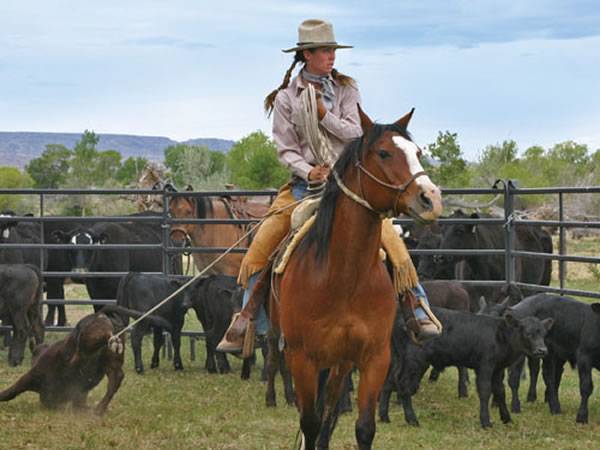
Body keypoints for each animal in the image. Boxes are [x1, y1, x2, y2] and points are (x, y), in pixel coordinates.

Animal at [270, 107, 442, 448]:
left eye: (417, 152)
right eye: (384, 153)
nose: (431, 198)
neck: (343, 279)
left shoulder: (374, 357)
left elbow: (362, 427)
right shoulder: (303, 359)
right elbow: (309, 423)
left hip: (341, 362)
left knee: (330, 410)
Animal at [380, 308, 552, 428]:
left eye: (544, 334)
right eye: (528, 333)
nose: (542, 350)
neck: (500, 336)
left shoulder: (497, 369)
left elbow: (500, 392)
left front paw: (507, 419)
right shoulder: (485, 366)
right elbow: (485, 391)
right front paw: (486, 422)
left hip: (396, 358)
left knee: (388, 383)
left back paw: (384, 417)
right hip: (414, 361)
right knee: (403, 386)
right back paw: (412, 420)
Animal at [508, 294, 600, 424]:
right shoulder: (584, 357)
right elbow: (586, 386)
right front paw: (582, 417)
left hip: (553, 354)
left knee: (547, 375)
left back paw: (544, 401)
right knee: (516, 378)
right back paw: (517, 407)